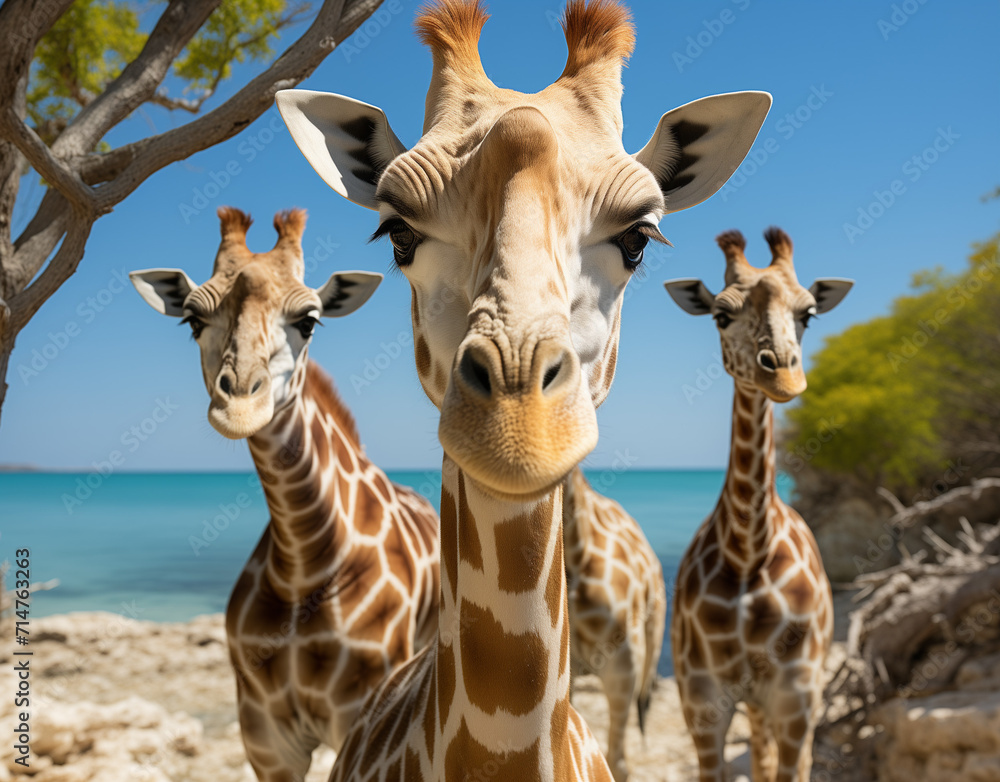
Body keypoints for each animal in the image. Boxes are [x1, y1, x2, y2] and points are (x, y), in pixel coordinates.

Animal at [129, 207, 441, 782]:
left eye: (309, 321)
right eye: (192, 320)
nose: (239, 406)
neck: (303, 562)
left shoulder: (356, 713)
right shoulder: (264, 733)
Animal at [663, 227, 853, 782]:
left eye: (809, 313)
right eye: (720, 315)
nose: (784, 377)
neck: (748, 552)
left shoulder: (797, 698)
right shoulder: (701, 701)